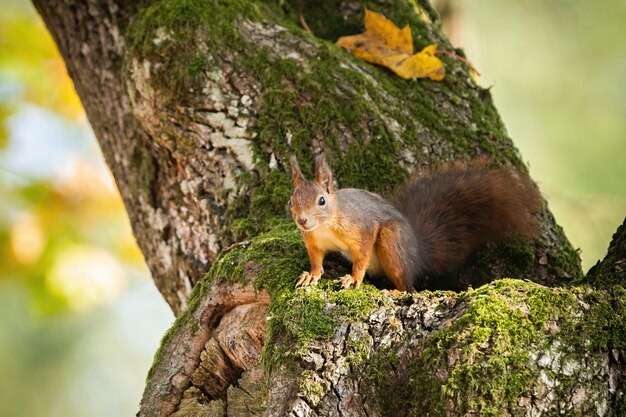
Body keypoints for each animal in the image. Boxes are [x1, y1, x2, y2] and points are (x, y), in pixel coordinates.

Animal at [288, 154, 540, 290]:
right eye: (291, 200)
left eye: (321, 201)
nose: (302, 221)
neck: (324, 227)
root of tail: (417, 254)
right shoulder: (313, 242)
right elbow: (316, 260)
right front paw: (312, 274)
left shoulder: (362, 228)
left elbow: (362, 256)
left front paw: (353, 278)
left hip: (392, 241)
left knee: (409, 288)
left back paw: (395, 291)